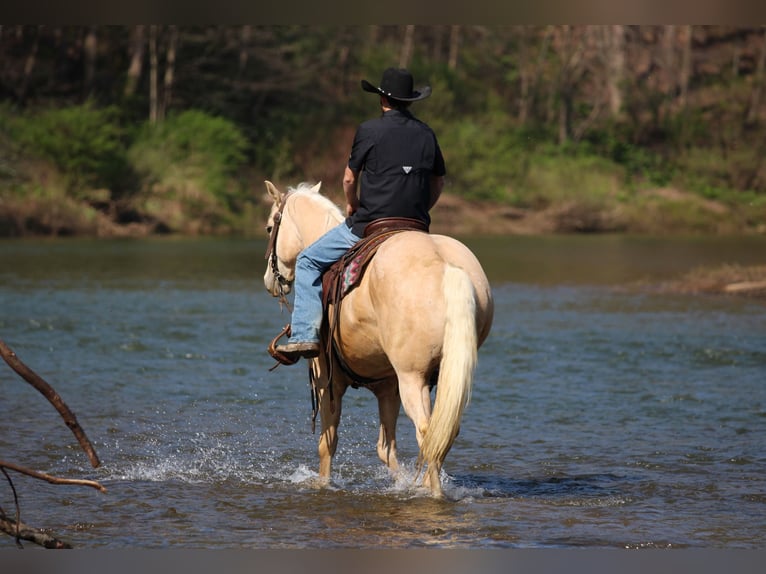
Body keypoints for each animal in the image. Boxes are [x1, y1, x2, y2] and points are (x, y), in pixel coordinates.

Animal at [262, 180, 494, 497]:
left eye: (269, 228)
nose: (269, 281)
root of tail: (447, 267)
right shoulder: (387, 387)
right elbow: (386, 449)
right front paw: (401, 482)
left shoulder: (327, 379)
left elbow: (327, 444)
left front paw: (322, 483)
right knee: (443, 432)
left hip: (412, 377)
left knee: (427, 433)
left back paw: (435, 493)